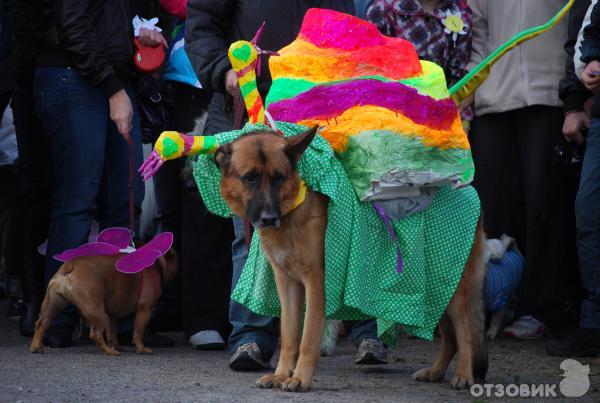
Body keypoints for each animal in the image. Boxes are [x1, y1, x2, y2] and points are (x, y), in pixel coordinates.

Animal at [29, 251, 178, 358]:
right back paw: (109, 352)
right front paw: (141, 349)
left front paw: (116, 345)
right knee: (96, 334)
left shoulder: (113, 315)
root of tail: (71, 266)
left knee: (41, 324)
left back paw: (36, 347)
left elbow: (112, 333)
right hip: (98, 313)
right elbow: (138, 332)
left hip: (53, 305)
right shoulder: (145, 310)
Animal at [216, 126, 488, 392]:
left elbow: (308, 338)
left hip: (453, 290)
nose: (269, 219)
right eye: (250, 177)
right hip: (436, 291)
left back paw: (464, 376)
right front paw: (281, 375)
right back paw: (436, 372)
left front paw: (300, 378)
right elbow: (290, 336)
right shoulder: (288, 285)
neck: (295, 207)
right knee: (451, 338)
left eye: (278, 178)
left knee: (466, 335)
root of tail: (469, 190)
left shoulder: (317, 285)